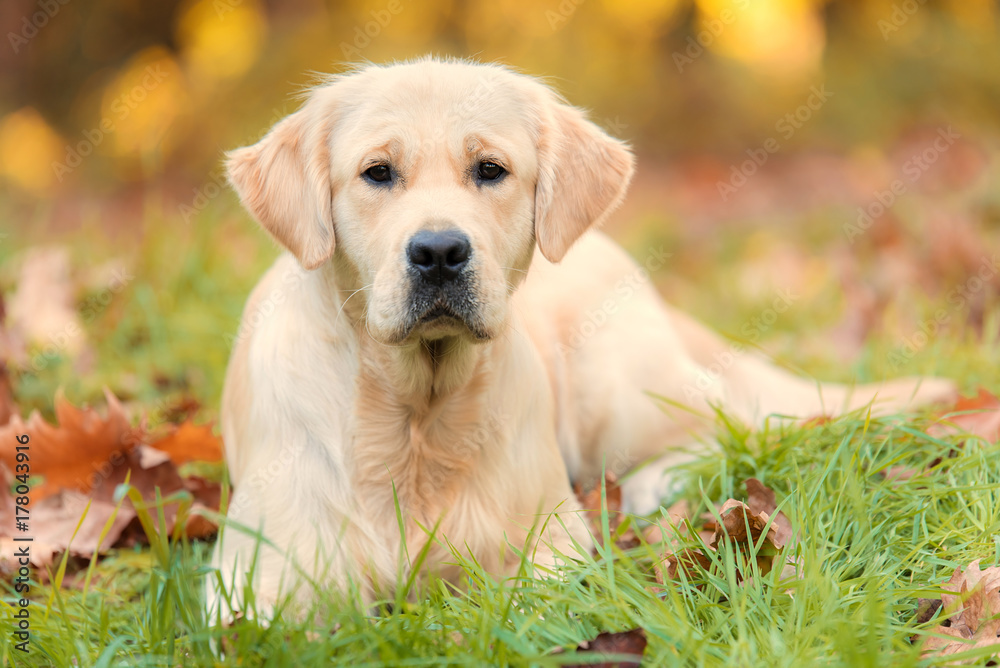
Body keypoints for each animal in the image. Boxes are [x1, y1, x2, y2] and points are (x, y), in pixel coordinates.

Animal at [207, 58, 956, 620]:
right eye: (376, 173)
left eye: (490, 169)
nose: (440, 251)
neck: (416, 422)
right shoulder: (256, 579)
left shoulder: (553, 542)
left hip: (616, 384)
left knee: (726, 422)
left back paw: (654, 481)